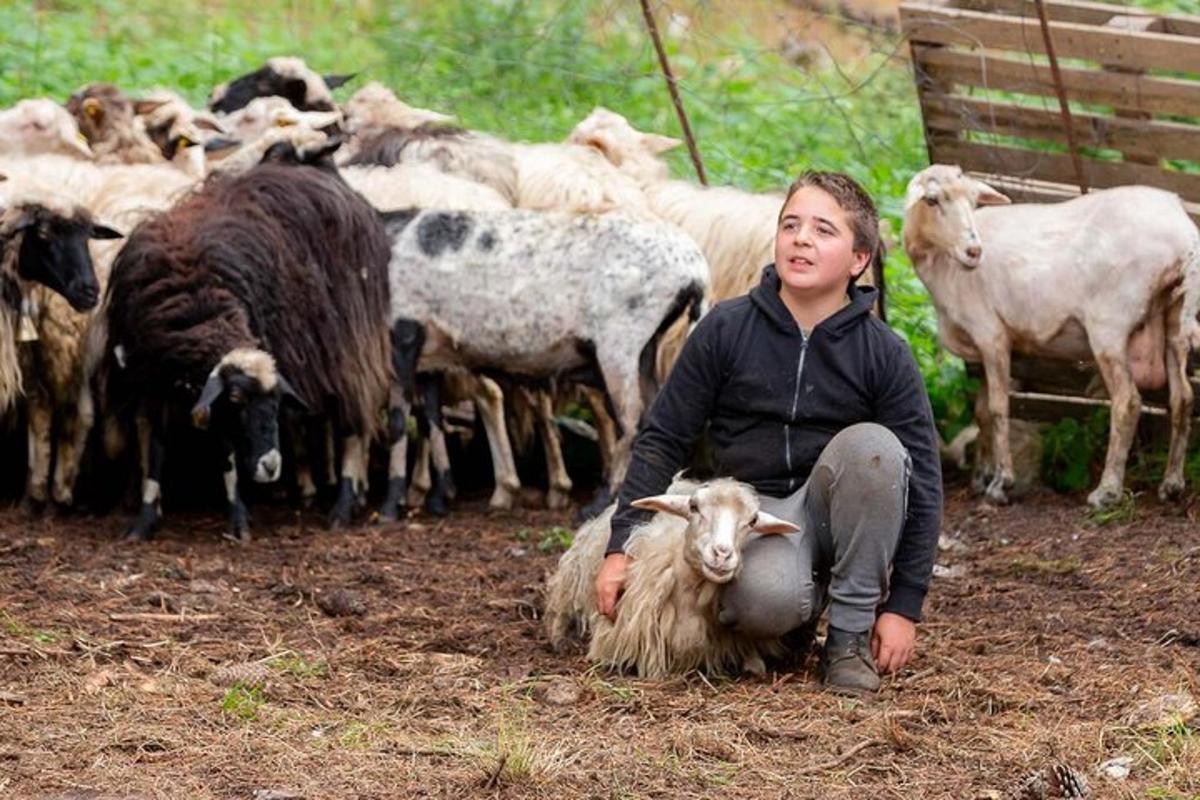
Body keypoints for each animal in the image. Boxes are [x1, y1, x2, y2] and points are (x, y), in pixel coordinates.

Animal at [902, 165, 1200, 510]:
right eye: (932, 200)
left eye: (974, 202)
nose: (974, 251)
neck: (943, 268)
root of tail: (1184, 234)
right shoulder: (984, 345)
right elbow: (981, 413)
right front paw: (981, 476)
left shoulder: (991, 334)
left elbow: (998, 409)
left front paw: (1001, 483)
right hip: (1174, 318)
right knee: (1182, 399)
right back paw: (1172, 484)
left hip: (1109, 324)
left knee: (1127, 402)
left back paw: (1107, 491)